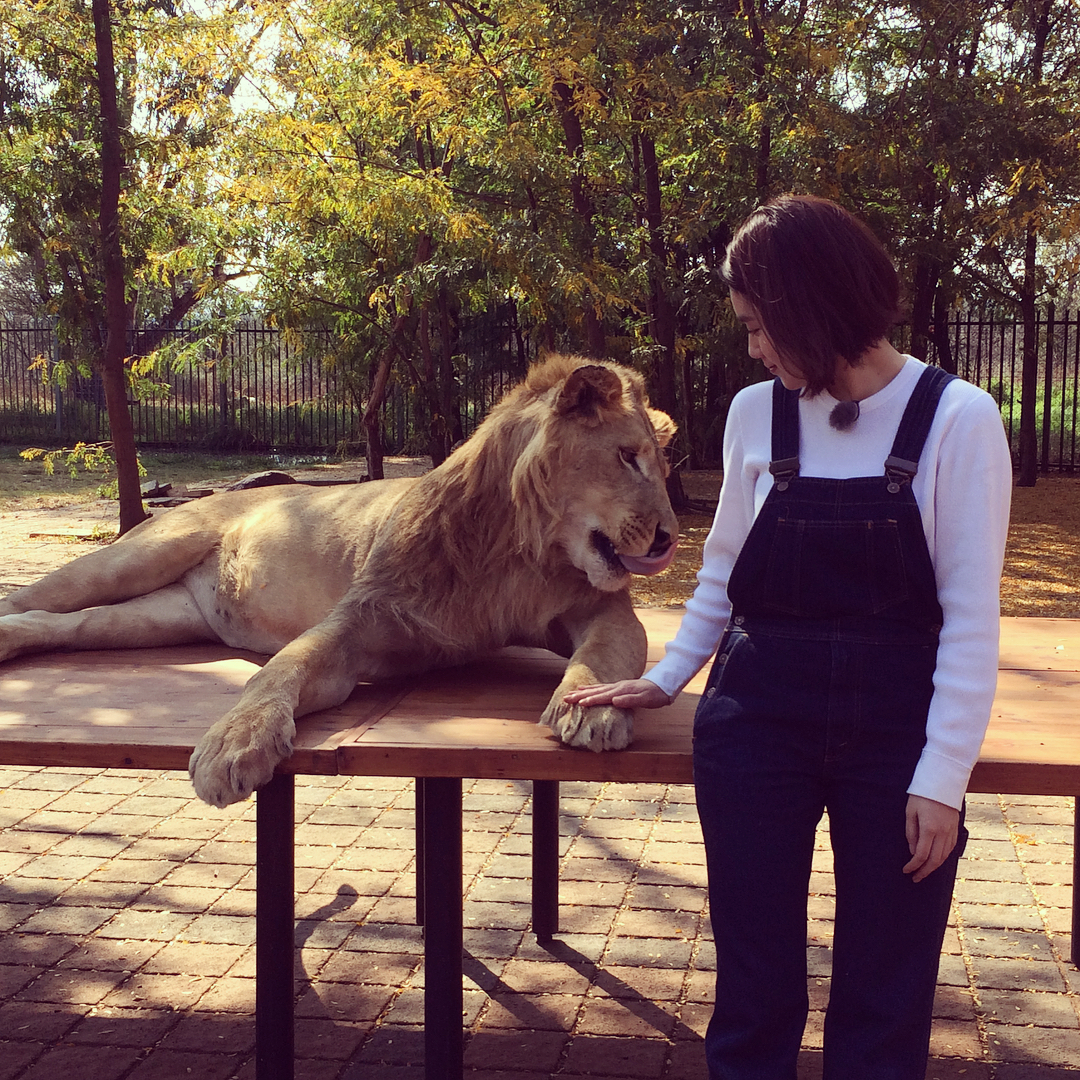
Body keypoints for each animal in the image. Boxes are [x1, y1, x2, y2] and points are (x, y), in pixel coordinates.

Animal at [0, 358, 673, 807]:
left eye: (660, 465)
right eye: (628, 457)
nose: (667, 538)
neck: (518, 550)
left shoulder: (599, 608)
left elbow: (610, 652)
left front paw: (593, 706)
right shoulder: (359, 620)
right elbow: (282, 670)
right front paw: (231, 746)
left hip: (157, 618)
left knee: (62, 626)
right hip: (135, 557)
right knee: (34, 599)